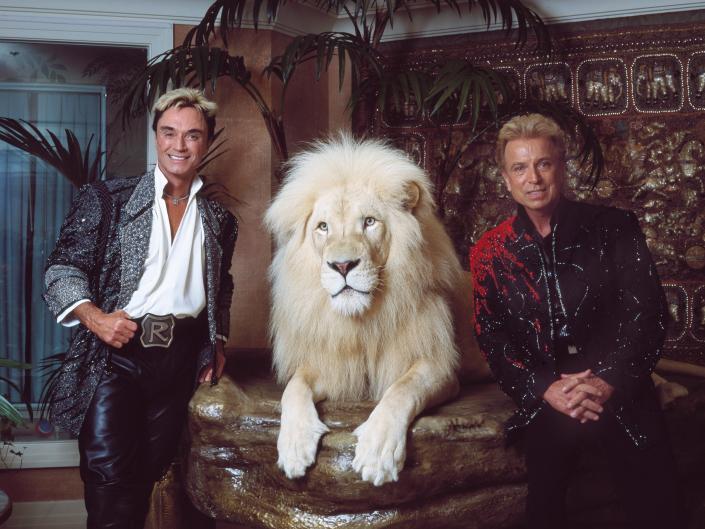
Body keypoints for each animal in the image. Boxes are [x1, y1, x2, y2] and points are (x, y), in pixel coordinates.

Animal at [266, 134, 490, 484]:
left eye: (370, 222)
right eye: (323, 227)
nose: (342, 265)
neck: (362, 318)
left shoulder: (439, 367)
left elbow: (401, 390)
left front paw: (378, 452)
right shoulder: (333, 366)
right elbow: (294, 388)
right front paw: (293, 446)